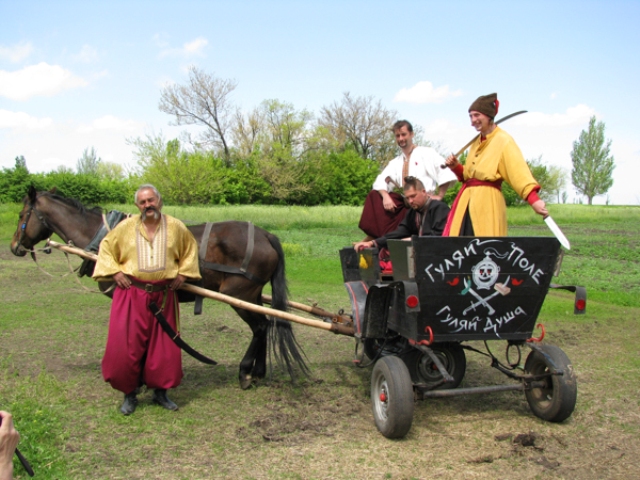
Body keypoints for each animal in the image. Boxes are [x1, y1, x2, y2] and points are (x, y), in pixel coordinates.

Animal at [10, 186, 308, 388]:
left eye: (22, 214)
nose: (14, 246)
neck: (103, 236)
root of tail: (266, 235)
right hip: (252, 296)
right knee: (266, 324)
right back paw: (258, 371)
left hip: (237, 295)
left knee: (260, 327)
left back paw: (246, 371)